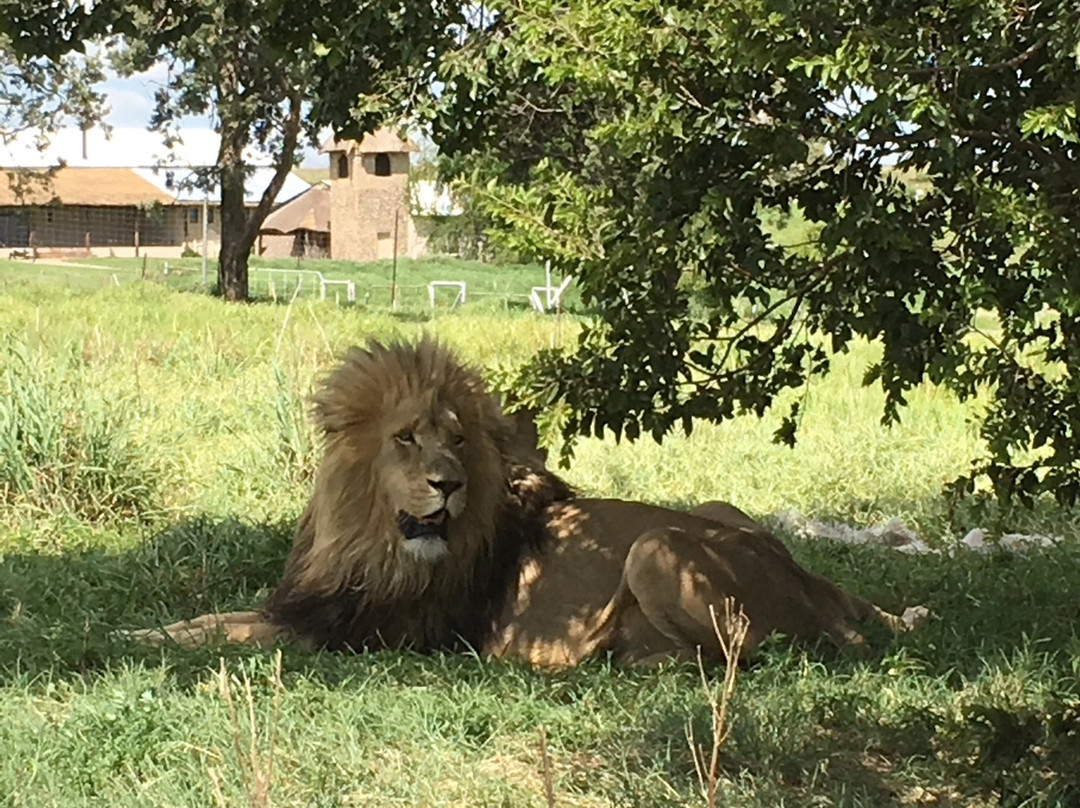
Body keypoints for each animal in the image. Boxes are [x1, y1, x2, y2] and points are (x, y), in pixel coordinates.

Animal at [128, 339, 927, 667]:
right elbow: (219, 619)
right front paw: (144, 631)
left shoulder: (367, 636)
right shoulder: (311, 606)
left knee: (750, 655)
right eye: (407, 439)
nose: (447, 484)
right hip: (719, 507)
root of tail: (811, 590)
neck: (369, 544)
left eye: (457, 441)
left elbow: (234, 635)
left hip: (655, 549)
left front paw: (139, 643)